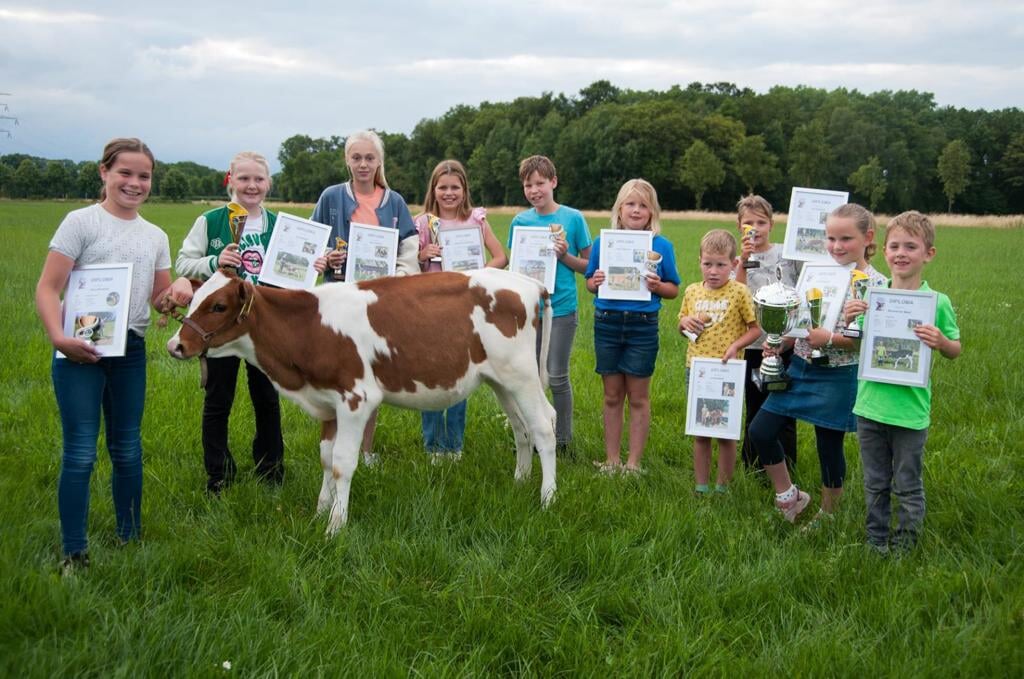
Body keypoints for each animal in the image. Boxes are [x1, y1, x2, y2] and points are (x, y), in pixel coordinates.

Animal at [165, 268, 561, 532]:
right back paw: (520, 482)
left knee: (544, 426)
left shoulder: (356, 399)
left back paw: (548, 498)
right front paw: (321, 510)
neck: (308, 327)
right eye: (193, 300)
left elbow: (343, 462)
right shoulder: (327, 403)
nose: (175, 345)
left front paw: (335, 525)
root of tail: (528, 283)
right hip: (499, 380)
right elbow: (326, 459)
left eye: (218, 306)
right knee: (522, 428)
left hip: (521, 374)